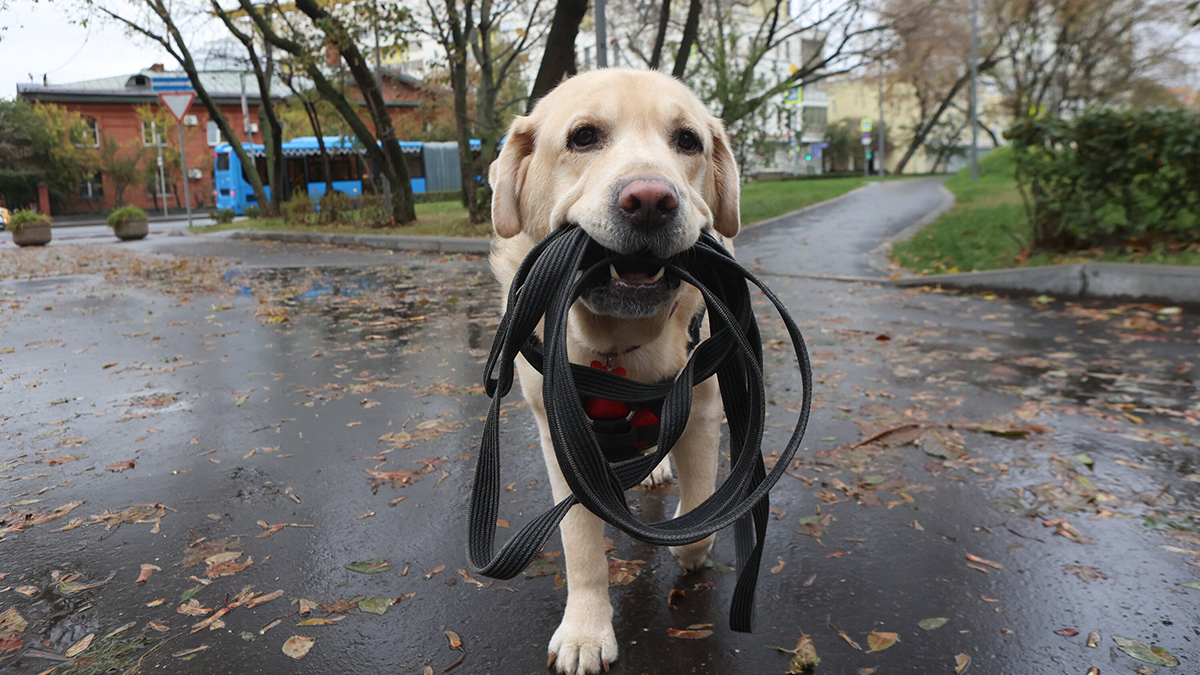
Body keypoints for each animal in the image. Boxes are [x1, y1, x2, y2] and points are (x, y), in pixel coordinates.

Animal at [489, 68, 739, 672]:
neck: (617, 345)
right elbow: (581, 543)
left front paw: (693, 545)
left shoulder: (703, 409)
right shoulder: (559, 431)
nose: (650, 200)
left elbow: (699, 506)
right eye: (583, 137)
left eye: (688, 141)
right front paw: (585, 631)